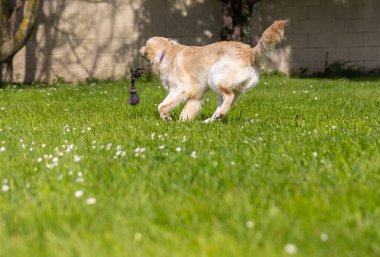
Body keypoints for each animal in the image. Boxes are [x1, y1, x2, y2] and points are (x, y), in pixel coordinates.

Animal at [140, 20, 288, 122]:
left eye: (145, 45)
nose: (139, 51)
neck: (166, 52)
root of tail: (249, 52)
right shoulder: (196, 94)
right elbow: (187, 111)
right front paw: (183, 122)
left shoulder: (180, 89)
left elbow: (161, 106)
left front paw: (166, 117)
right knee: (225, 103)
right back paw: (211, 120)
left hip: (215, 78)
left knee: (229, 97)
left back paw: (218, 115)